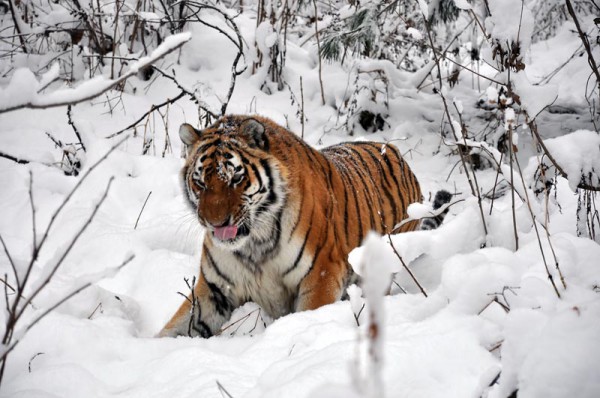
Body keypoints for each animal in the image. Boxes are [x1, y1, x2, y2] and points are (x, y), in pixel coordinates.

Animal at [157, 115, 448, 338]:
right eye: (200, 182)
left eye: (236, 178)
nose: (215, 223)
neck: (254, 245)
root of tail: (396, 153)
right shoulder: (215, 290)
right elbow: (175, 328)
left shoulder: (321, 274)